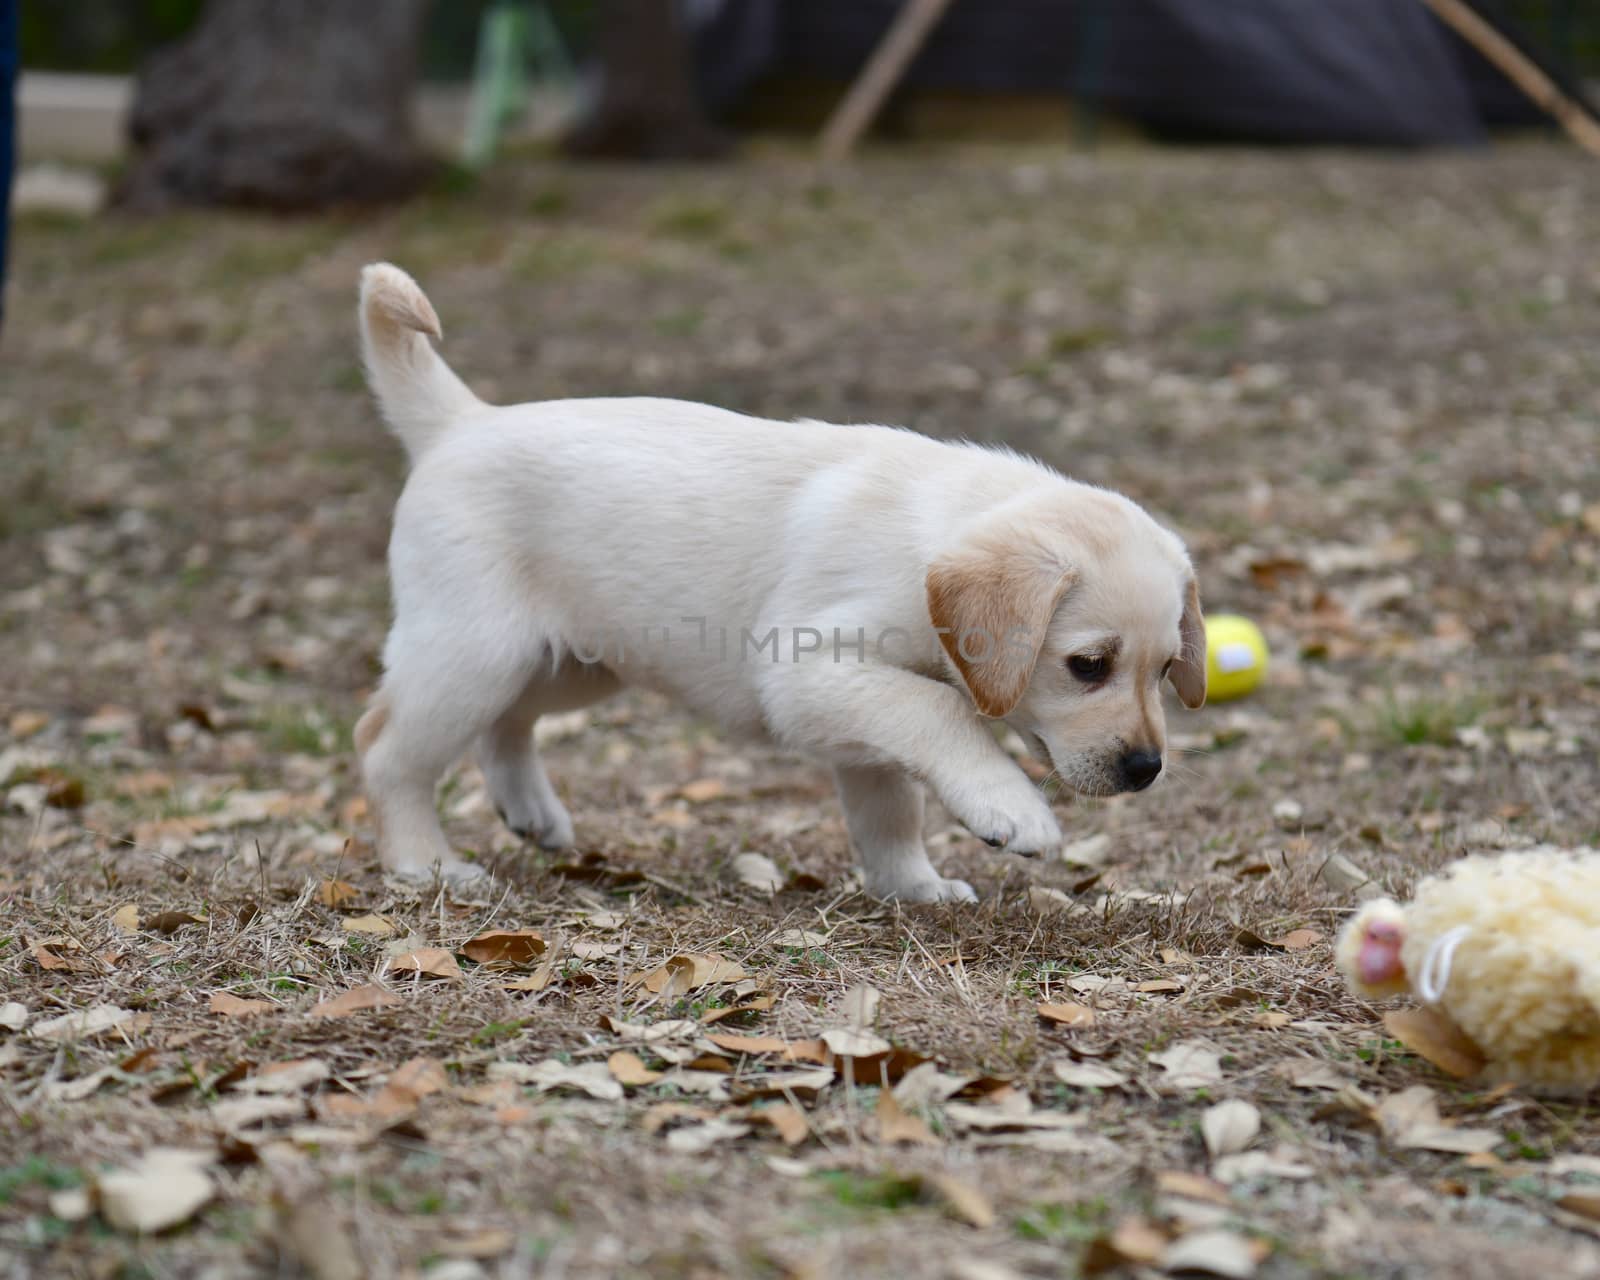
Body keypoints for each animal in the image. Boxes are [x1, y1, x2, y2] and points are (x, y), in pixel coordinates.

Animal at [353, 262, 1203, 902]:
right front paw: (1008, 808)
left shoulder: (857, 717)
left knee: (505, 725)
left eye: (1166, 669)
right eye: (1087, 666)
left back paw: (530, 812)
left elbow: (890, 810)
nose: (1146, 770)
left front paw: (914, 889)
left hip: (573, 661)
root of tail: (461, 422)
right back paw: (426, 865)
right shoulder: (805, 673)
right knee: (387, 749)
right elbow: (940, 714)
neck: (925, 542)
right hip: (477, 651)